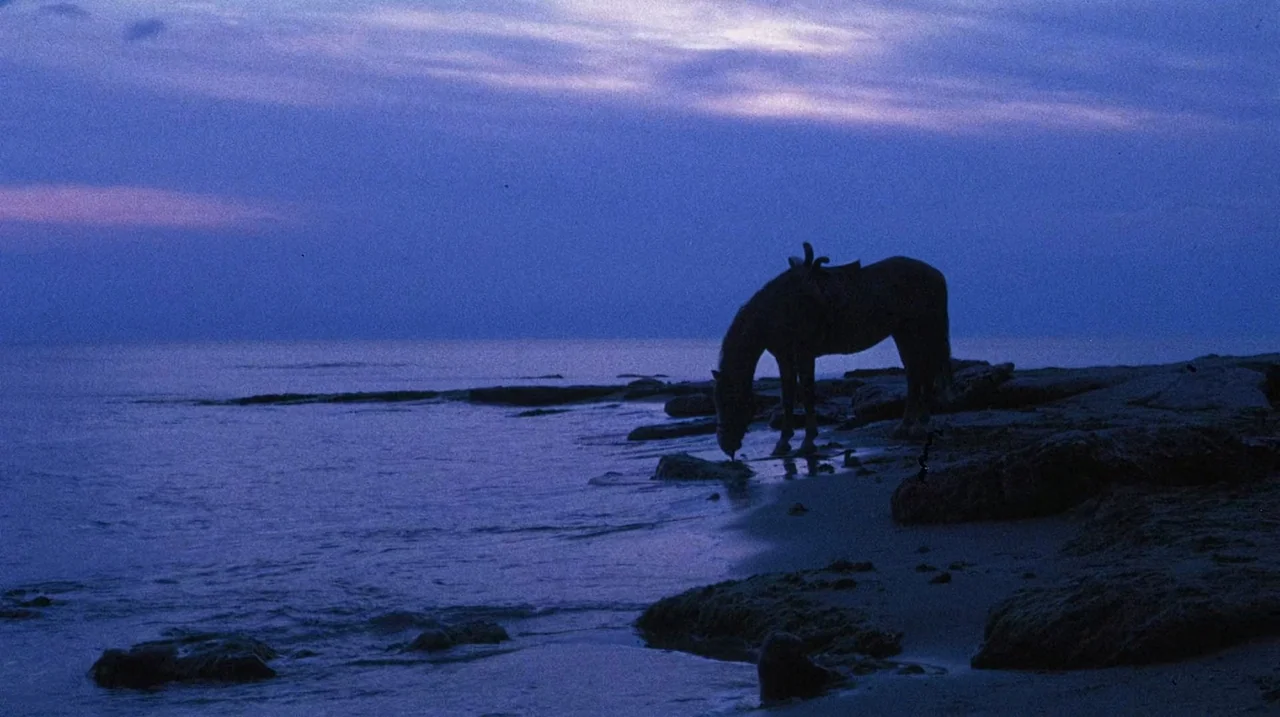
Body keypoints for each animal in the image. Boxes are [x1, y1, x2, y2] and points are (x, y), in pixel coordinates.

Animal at [712, 243, 952, 459]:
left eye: (731, 400)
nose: (726, 446)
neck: (779, 308)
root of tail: (936, 275)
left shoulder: (804, 354)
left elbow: (807, 393)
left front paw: (808, 442)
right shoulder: (784, 357)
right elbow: (787, 397)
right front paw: (783, 443)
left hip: (920, 331)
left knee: (923, 374)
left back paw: (919, 426)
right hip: (903, 333)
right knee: (915, 374)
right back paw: (906, 426)